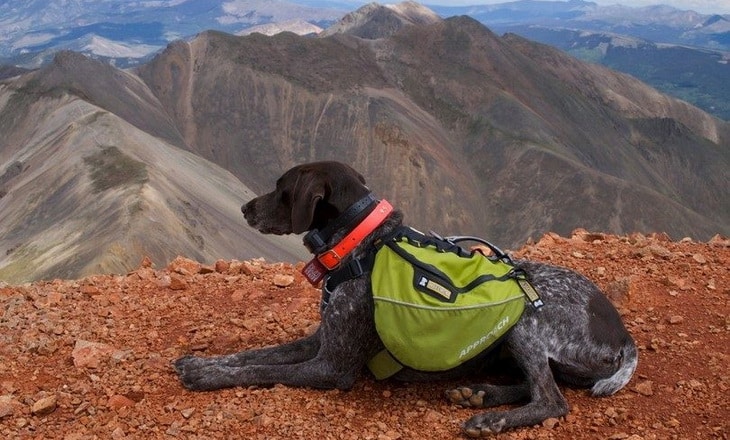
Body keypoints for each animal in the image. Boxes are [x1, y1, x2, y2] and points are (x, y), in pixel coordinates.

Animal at [173, 161, 636, 436]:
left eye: (280, 188)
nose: (245, 208)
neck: (361, 245)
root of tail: (622, 334)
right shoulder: (319, 340)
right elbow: (253, 355)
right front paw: (201, 363)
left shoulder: (331, 367)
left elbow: (258, 370)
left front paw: (205, 377)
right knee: (533, 384)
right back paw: (480, 393)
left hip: (524, 320)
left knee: (551, 400)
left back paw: (492, 417)